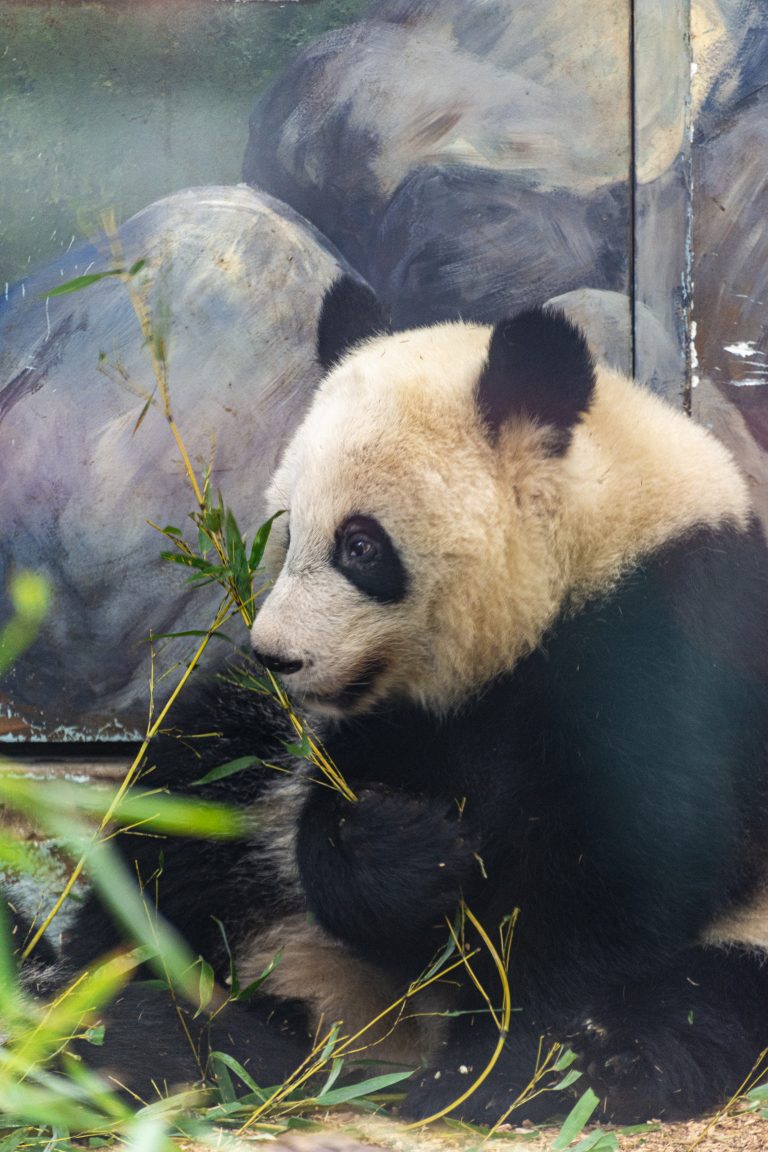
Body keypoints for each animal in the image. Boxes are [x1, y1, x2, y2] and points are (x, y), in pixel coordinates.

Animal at [54, 276, 768, 1124]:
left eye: (360, 545)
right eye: (287, 532)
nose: (277, 656)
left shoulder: (673, 639)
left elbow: (620, 870)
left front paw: (495, 1058)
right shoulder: (375, 720)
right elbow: (339, 827)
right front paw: (403, 850)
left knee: (691, 1004)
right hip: (244, 784)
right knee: (176, 832)